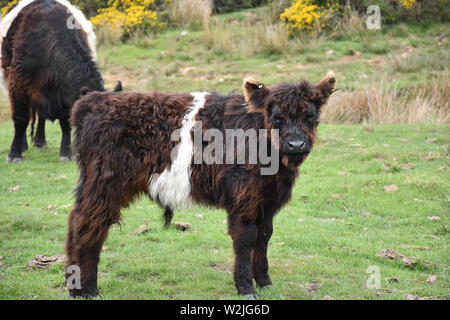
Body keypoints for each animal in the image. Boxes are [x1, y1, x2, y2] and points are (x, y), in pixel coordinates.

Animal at [0, 0, 121, 162]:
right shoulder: (18, 85)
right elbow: (21, 119)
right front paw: (14, 154)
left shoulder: (64, 94)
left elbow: (66, 122)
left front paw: (66, 152)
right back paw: (24, 145)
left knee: (41, 116)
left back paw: (39, 141)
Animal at [65, 72, 336, 298]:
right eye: (277, 117)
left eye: (312, 116)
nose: (296, 144)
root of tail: (95, 100)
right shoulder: (243, 198)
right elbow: (245, 238)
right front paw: (246, 288)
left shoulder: (267, 200)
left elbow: (264, 236)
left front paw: (265, 282)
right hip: (105, 184)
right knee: (88, 224)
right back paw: (87, 290)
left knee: (77, 220)